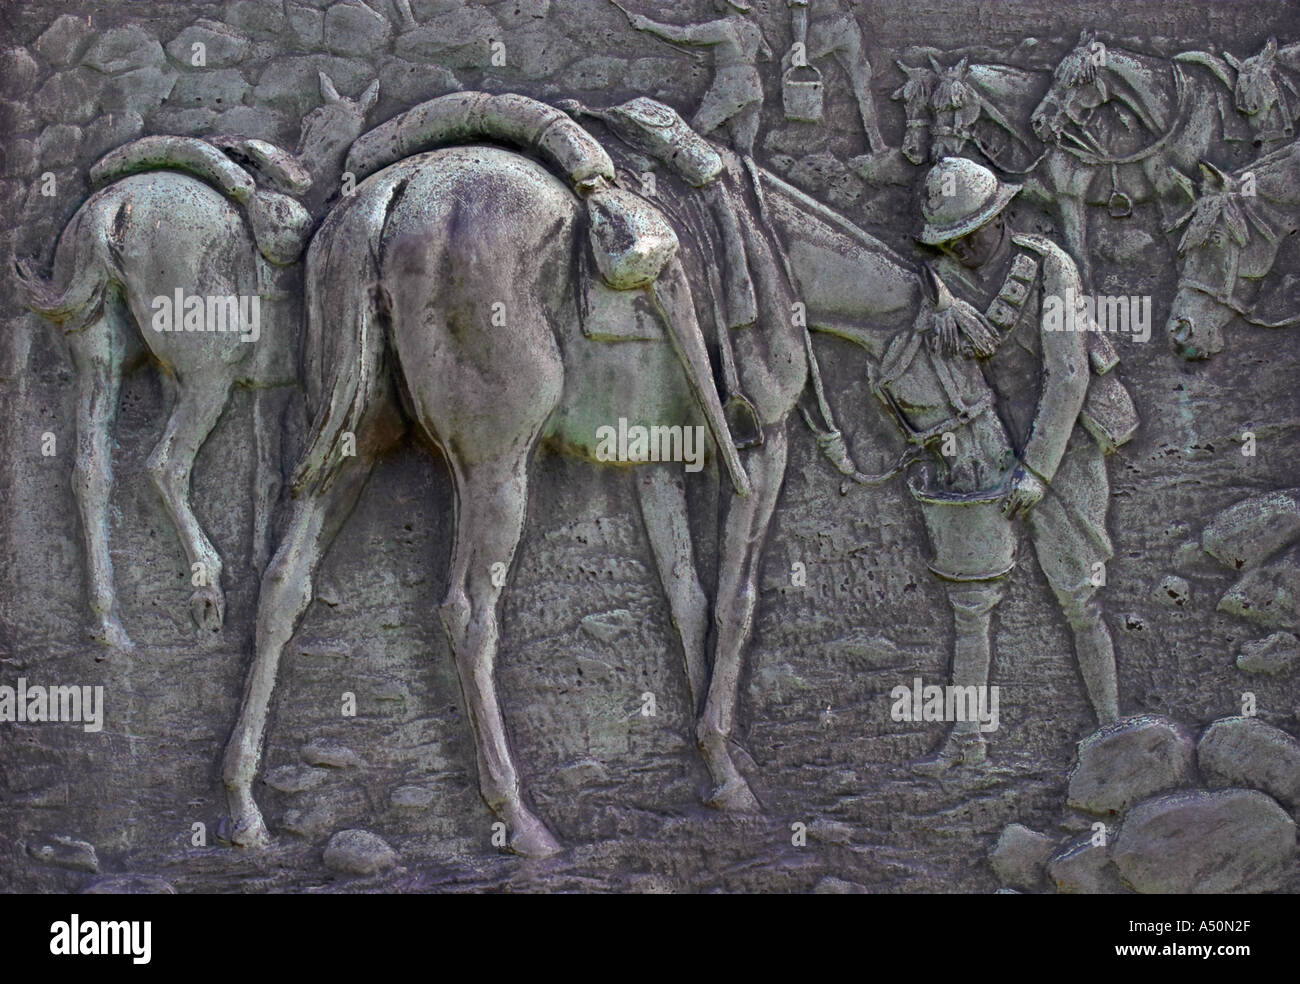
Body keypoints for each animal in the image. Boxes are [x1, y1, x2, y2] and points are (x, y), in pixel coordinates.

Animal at [16, 76, 379, 652]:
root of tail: (112, 209)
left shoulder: (269, 391)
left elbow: (268, 475)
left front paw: (263, 562)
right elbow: (294, 475)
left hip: (98, 358)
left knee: (91, 472)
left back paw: (108, 624)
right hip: (210, 376)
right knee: (164, 466)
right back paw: (207, 589)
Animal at [218, 94, 982, 857]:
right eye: (966, 353)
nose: (975, 451)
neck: (773, 252)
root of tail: (390, 197)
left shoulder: (655, 459)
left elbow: (688, 599)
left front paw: (718, 760)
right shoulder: (766, 443)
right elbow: (735, 600)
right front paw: (728, 764)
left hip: (352, 448)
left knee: (281, 588)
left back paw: (244, 807)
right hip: (495, 466)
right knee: (468, 613)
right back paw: (519, 817)